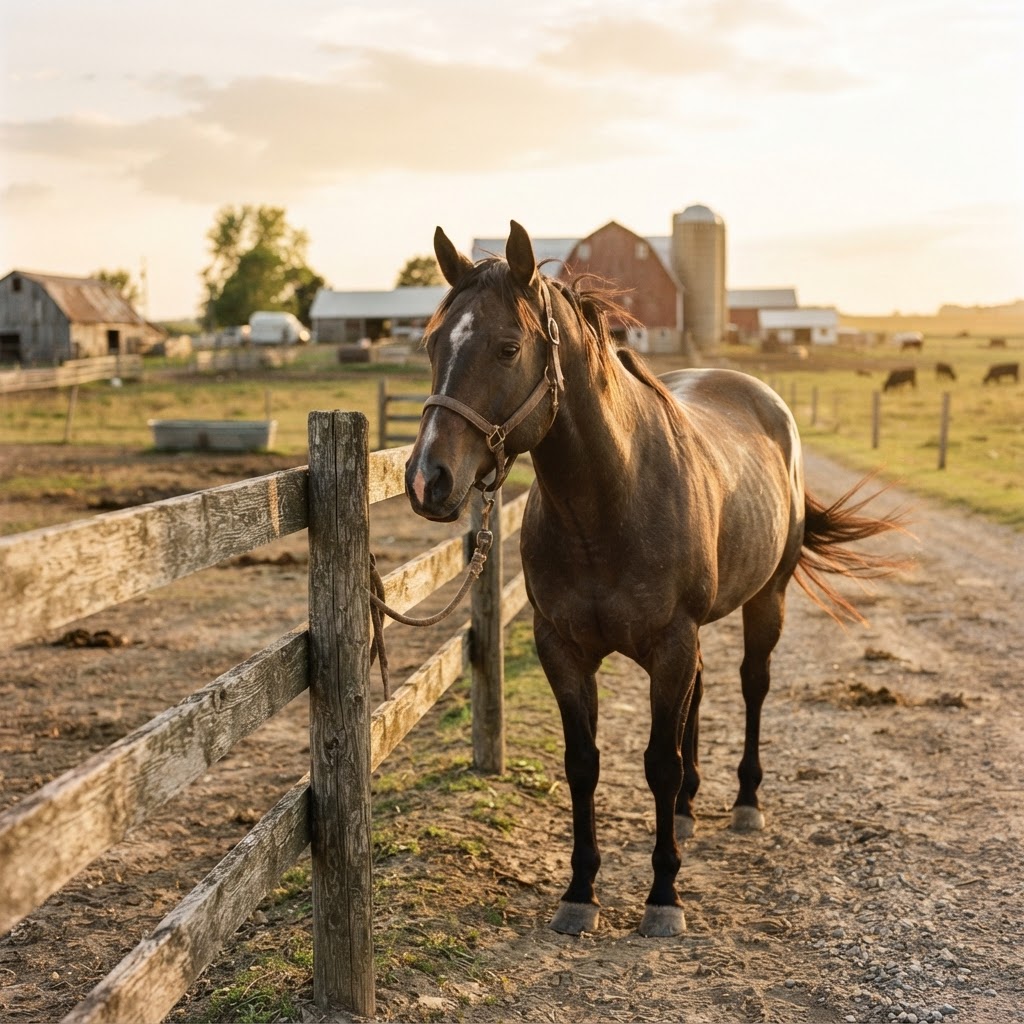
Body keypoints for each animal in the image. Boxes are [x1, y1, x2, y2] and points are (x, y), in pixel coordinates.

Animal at [405, 221, 905, 938]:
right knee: (704, 691)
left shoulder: (670, 645)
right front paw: (580, 891)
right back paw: (691, 813)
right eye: (432, 343)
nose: (428, 480)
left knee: (752, 685)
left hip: (767, 598)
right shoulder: (564, 650)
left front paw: (664, 895)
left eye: (508, 347)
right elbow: (583, 764)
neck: (607, 503)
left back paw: (745, 801)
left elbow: (658, 765)